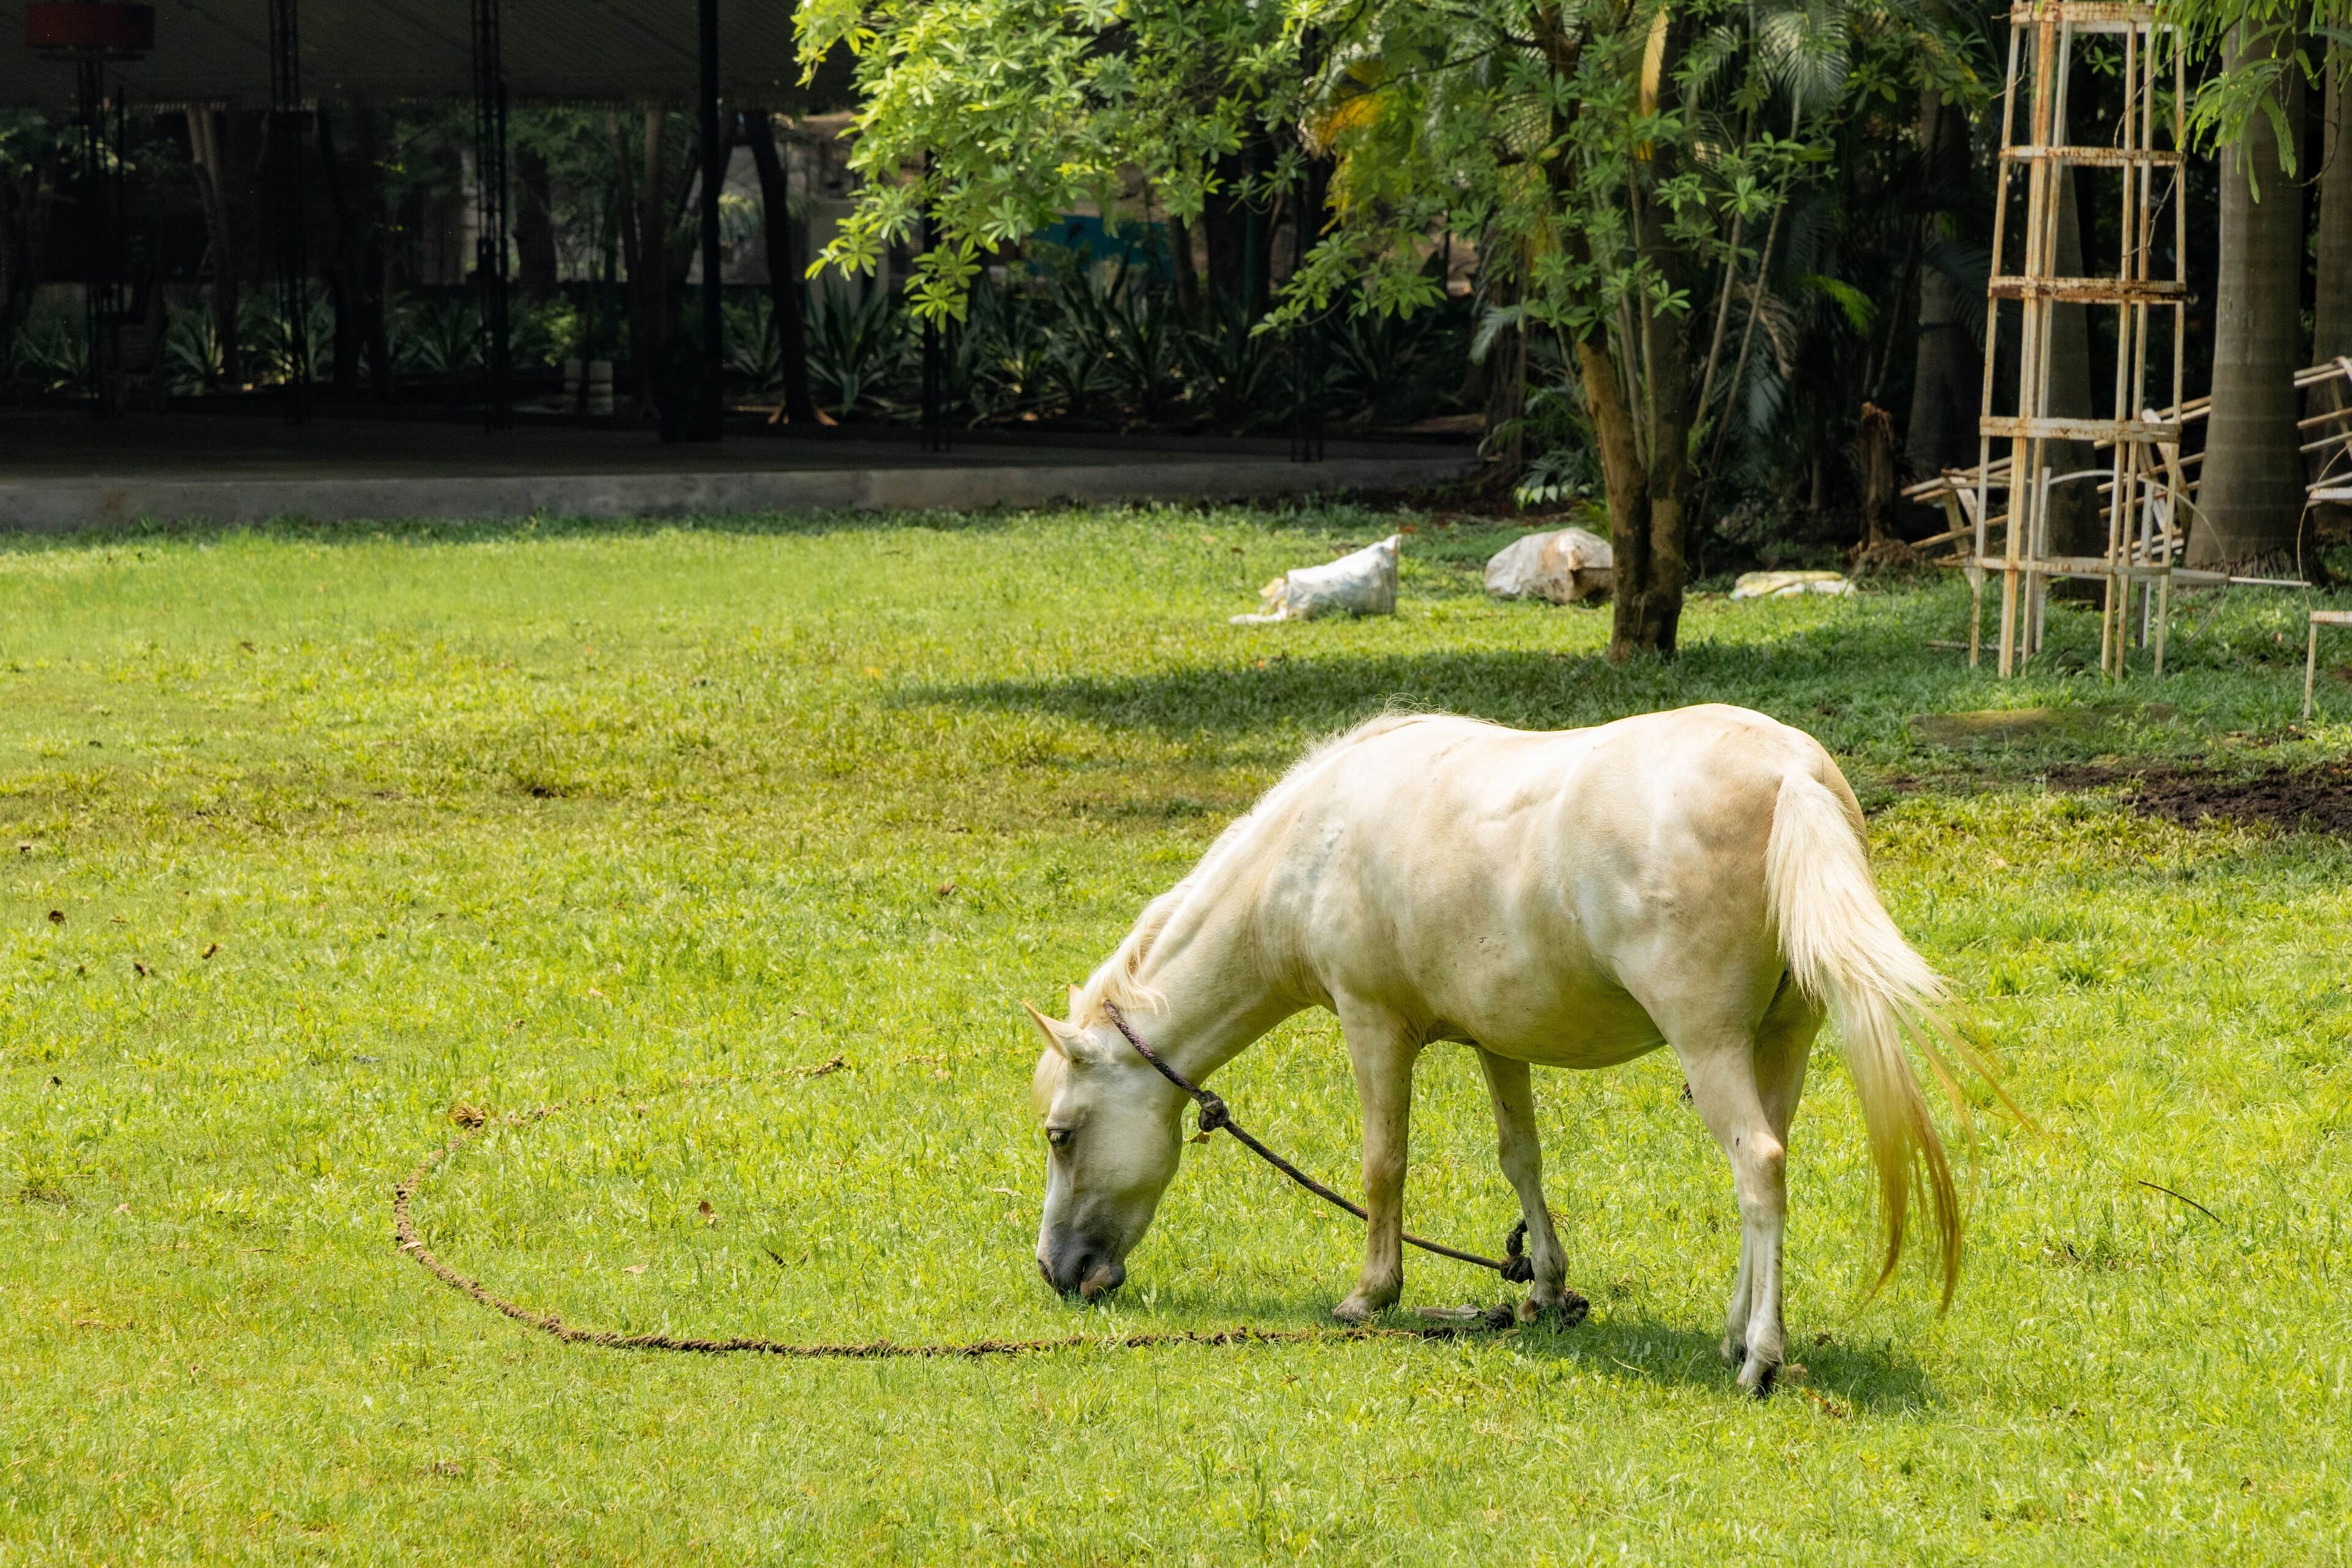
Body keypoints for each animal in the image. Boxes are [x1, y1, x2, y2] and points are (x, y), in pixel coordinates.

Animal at [1025, 704, 1972, 1396]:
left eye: (1061, 1135)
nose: (1060, 1272)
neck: (1313, 847)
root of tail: (1791, 775)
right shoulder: (1497, 1041)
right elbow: (1522, 1157)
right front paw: (1546, 1288)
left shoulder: (1373, 1027)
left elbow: (1384, 1165)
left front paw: (1372, 1295)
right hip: (1780, 1047)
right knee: (1761, 1173)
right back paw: (1734, 1333)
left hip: (1709, 1047)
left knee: (1759, 1166)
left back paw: (1760, 1358)